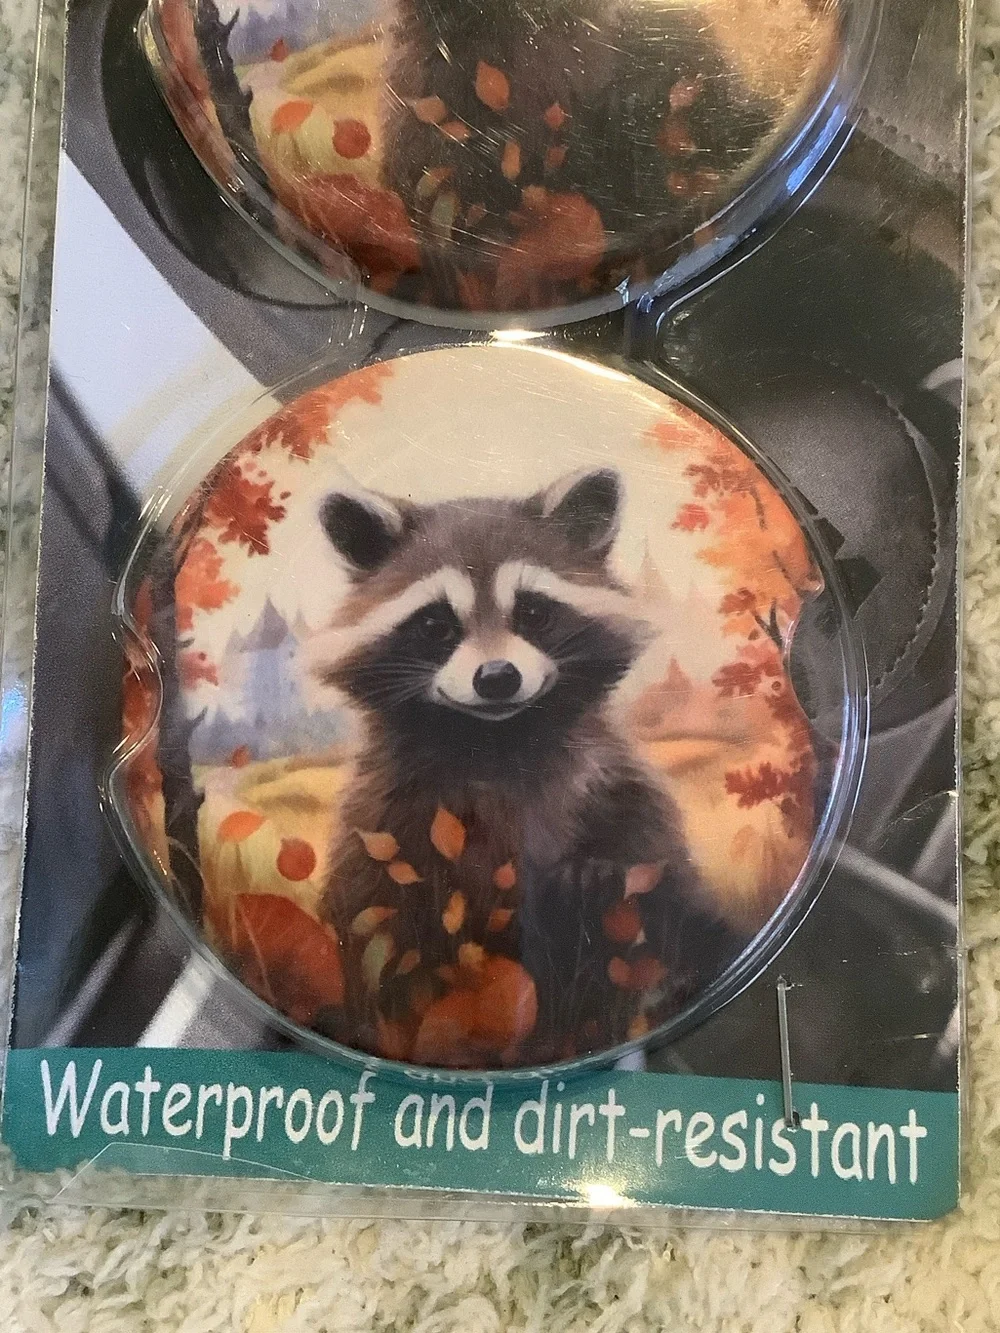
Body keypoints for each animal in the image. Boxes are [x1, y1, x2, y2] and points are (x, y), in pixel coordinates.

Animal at [313, 467, 742, 1067]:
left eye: (533, 612)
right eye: (436, 625)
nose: (497, 677)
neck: (496, 739)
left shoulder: (614, 787)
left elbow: (661, 874)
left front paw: (596, 880)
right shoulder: (384, 818)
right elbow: (369, 917)